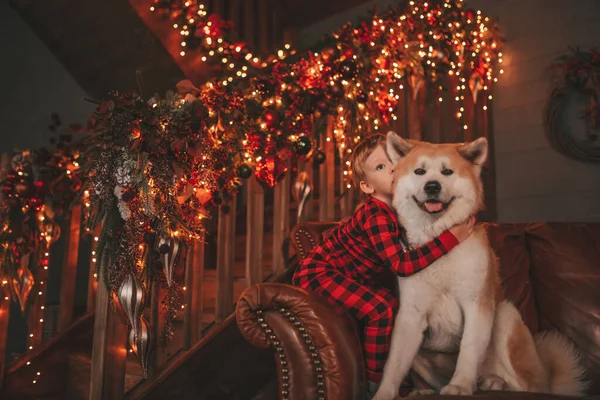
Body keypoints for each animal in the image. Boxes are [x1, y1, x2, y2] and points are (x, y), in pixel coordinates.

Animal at [372, 133, 588, 398]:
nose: (432, 186)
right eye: (419, 171)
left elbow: (469, 349)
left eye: (447, 172)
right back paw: (427, 391)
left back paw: (492, 383)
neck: (439, 243)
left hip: (505, 315)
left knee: (522, 384)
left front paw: (460, 385)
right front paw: (383, 393)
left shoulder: (477, 306)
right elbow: (394, 364)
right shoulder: (411, 315)